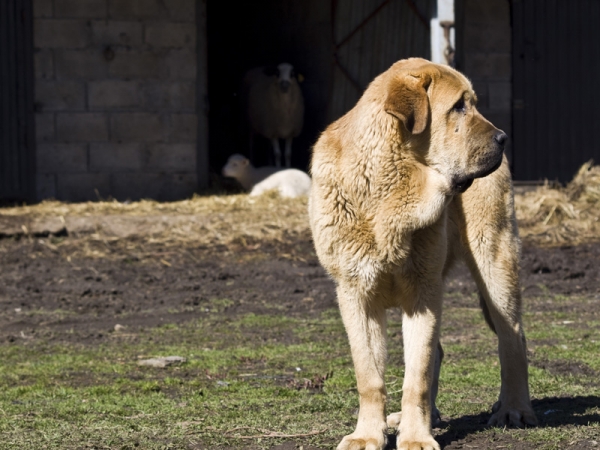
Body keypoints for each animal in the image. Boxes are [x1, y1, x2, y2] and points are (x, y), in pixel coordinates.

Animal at [308, 57, 536, 450]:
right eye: (459, 106)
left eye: (471, 103)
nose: (503, 139)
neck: (387, 190)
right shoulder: (355, 295)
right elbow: (370, 377)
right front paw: (369, 434)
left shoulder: (423, 292)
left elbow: (415, 377)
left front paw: (416, 438)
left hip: (495, 261)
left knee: (513, 339)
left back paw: (514, 409)